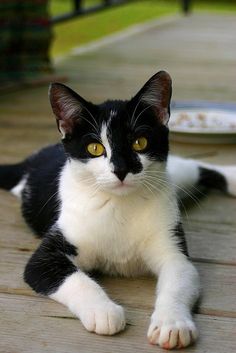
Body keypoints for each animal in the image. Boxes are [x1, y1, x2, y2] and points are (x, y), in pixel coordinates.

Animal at [0, 70, 235, 348]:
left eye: (140, 142)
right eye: (95, 148)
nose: (121, 169)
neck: (119, 206)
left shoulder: (173, 250)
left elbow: (178, 279)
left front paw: (172, 323)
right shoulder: (48, 255)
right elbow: (72, 278)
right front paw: (103, 311)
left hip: (173, 177)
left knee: (197, 167)